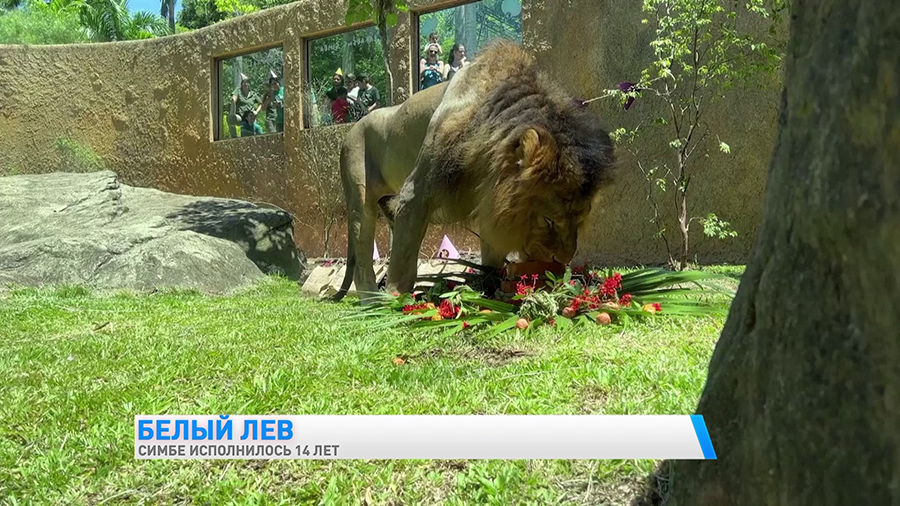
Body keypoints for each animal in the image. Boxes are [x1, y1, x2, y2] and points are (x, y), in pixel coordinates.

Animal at [334, 39, 616, 304]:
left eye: (580, 219)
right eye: (549, 219)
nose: (563, 259)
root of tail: (352, 126)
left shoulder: (491, 202)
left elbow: (491, 254)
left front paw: (490, 289)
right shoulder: (414, 195)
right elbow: (404, 261)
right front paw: (395, 302)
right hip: (360, 198)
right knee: (363, 256)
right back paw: (372, 301)